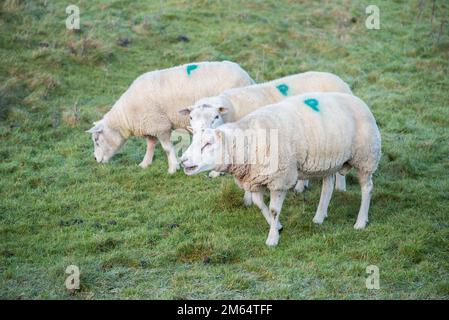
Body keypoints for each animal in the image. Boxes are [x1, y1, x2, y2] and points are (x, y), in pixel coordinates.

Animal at [86, 61, 254, 174]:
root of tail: (247, 76)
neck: (126, 117)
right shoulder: (150, 125)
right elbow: (150, 145)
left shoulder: (161, 125)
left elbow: (167, 148)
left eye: (96, 140)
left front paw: (173, 167)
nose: (95, 159)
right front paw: (145, 164)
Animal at [178, 71, 350, 191]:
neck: (232, 109)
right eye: (191, 117)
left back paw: (339, 188)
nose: (201, 131)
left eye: (215, 116)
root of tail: (341, 82)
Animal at [178, 92, 378, 248]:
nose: (183, 160)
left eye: (208, 144)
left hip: (366, 157)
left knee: (367, 188)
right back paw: (319, 217)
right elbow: (260, 205)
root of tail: (359, 100)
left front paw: (272, 238)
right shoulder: (254, 179)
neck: (248, 141)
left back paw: (361, 221)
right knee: (327, 186)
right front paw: (278, 226)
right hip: (329, 161)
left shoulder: (279, 179)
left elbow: (274, 209)